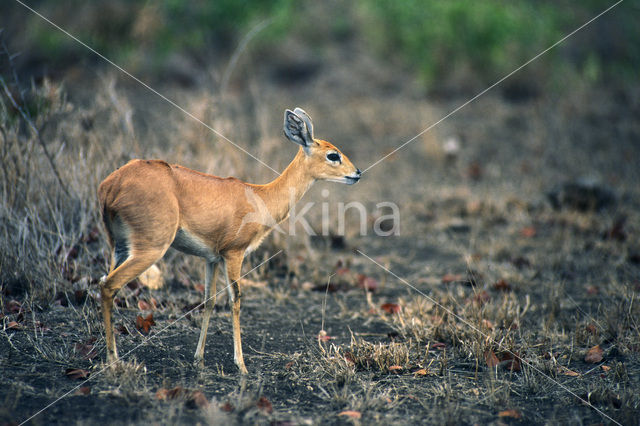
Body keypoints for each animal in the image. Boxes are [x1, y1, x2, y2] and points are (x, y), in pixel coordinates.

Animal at [99, 107, 360, 372]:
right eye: (333, 155)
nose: (357, 173)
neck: (261, 197)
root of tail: (111, 184)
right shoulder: (234, 253)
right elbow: (236, 300)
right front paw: (241, 365)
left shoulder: (212, 258)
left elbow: (209, 300)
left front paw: (199, 358)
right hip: (151, 249)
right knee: (108, 285)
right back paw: (113, 360)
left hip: (120, 247)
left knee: (105, 282)